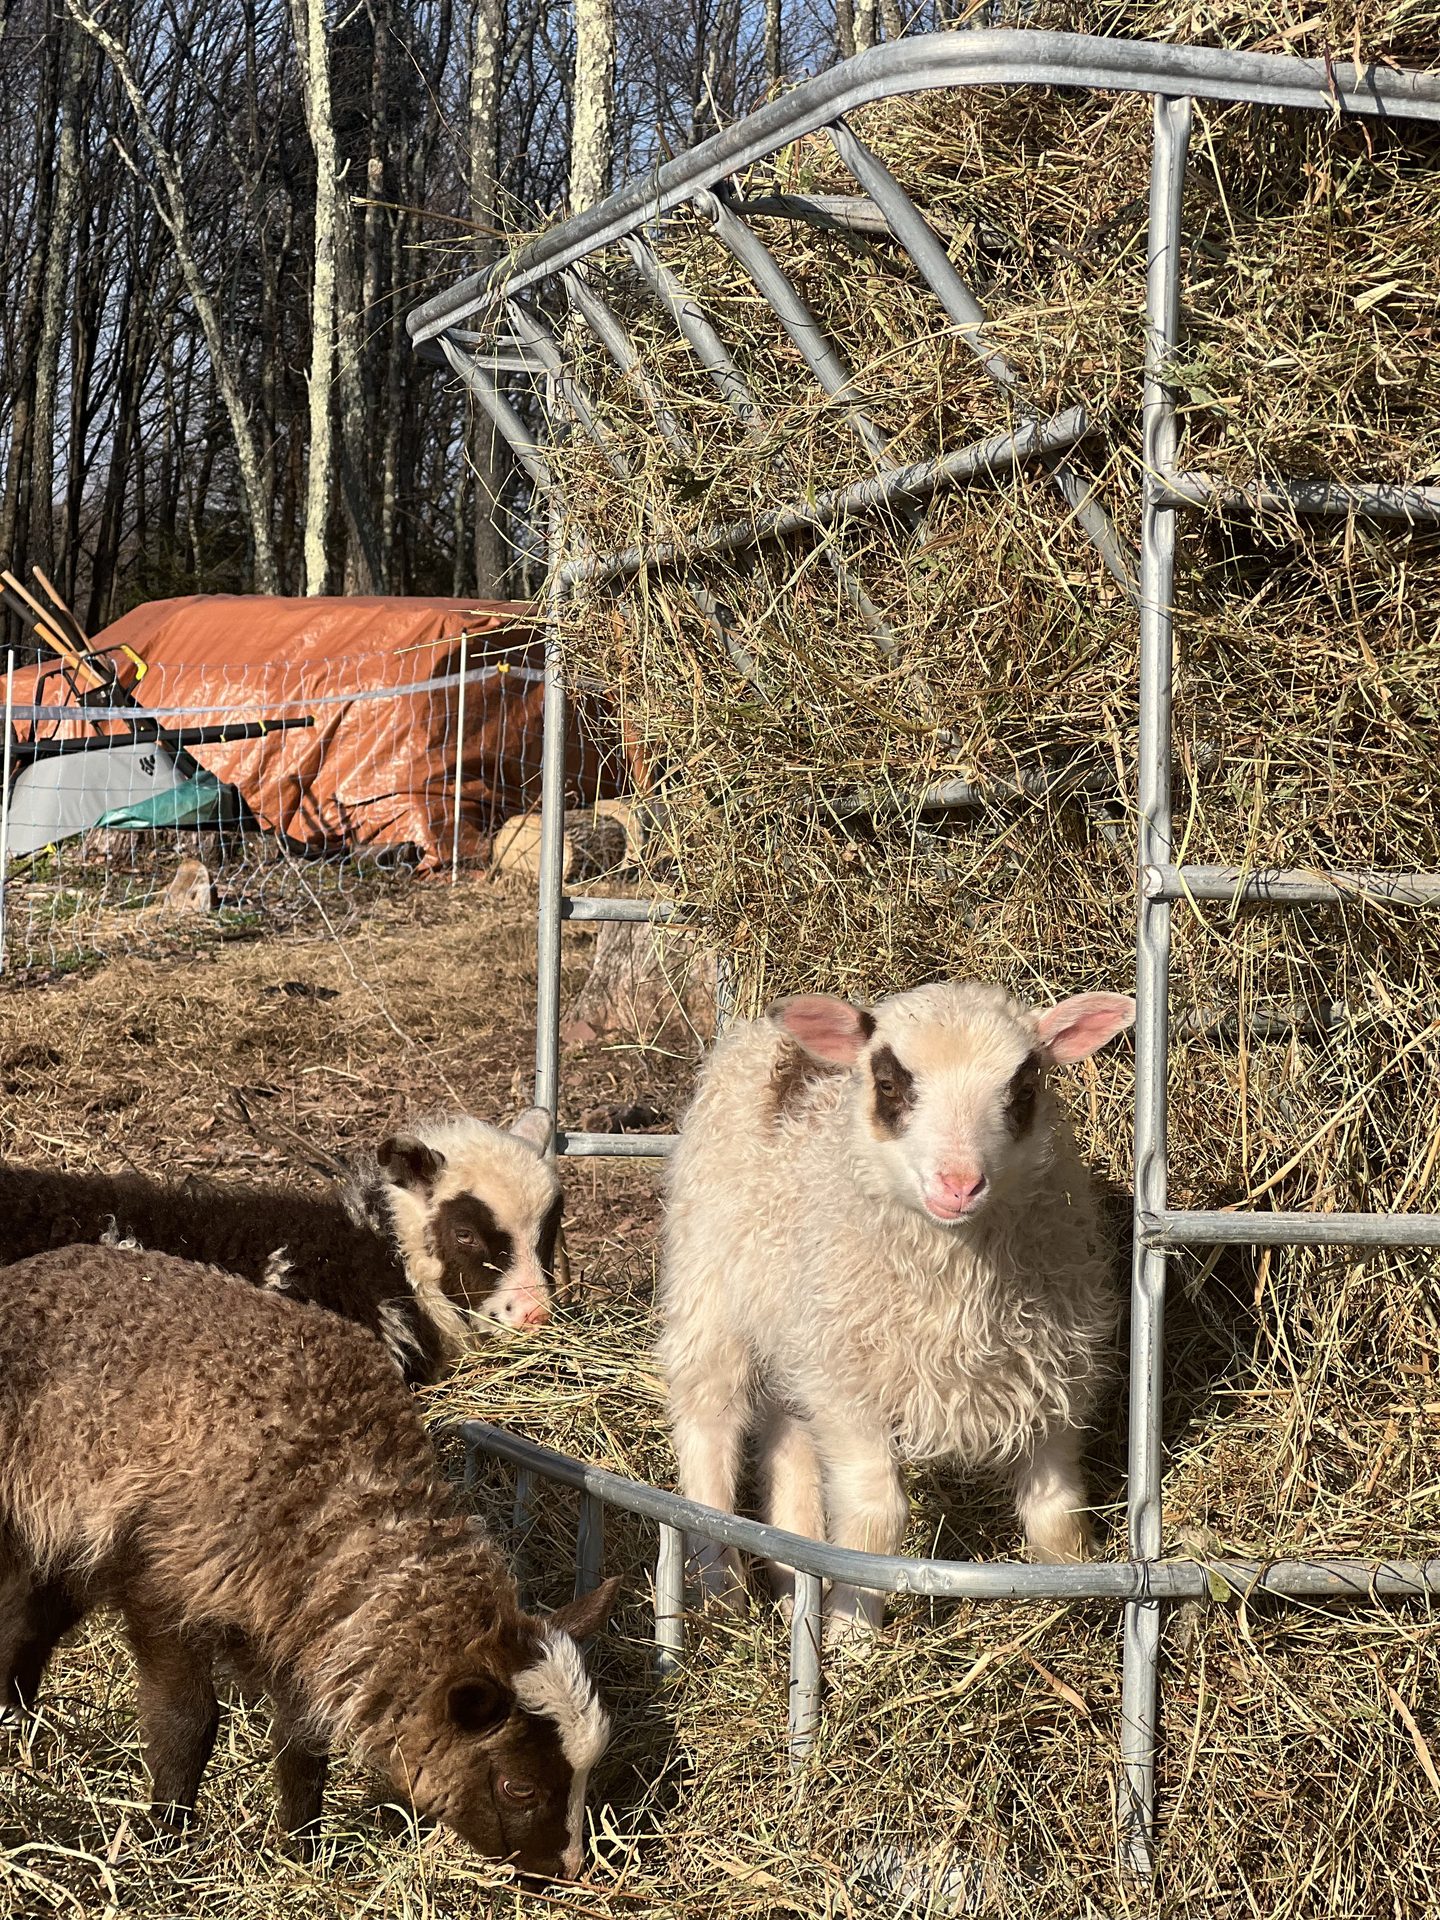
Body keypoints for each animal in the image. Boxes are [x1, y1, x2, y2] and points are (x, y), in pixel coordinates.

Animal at [0, 1242, 619, 1881]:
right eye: (519, 1787)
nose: (569, 1869)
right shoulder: (163, 1588)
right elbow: (187, 1724)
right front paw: (168, 1837)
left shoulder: (301, 1628)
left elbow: (301, 1747)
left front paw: (303, 1848)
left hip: (61, 1539)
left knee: (27, 1625)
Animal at [658, 981, 1135, 1636]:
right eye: (889, 1084)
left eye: (1024, 1089)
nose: (959, 1185)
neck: (956, 1293)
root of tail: (768, 1033)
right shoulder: (851, 1392)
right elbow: (876, 1516)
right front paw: (851, 1634)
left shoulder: (1053, 1379)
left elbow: (1056, 1506)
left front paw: (1074, 1591)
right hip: (709, 1294)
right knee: (708, 1428)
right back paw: (722, 1591)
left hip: (797, 1333)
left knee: (789, 1441)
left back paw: (791, 1579)